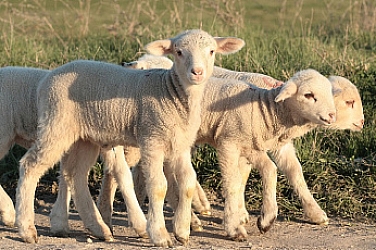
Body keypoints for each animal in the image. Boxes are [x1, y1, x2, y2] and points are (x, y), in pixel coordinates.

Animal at [14, 28, 245, 246]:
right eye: (179, 52)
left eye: (212, 51)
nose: (197, 72)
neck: (172, 93)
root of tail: (47, 78)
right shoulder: (151, 139)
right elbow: (158, 186)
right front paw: (160, 235)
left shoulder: (180, 145)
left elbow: (187, 183)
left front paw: (182, 231)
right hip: (56, 124)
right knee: (30, 165)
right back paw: (27, 229)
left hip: (84, 137)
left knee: (75, 175)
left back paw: (100, 229)